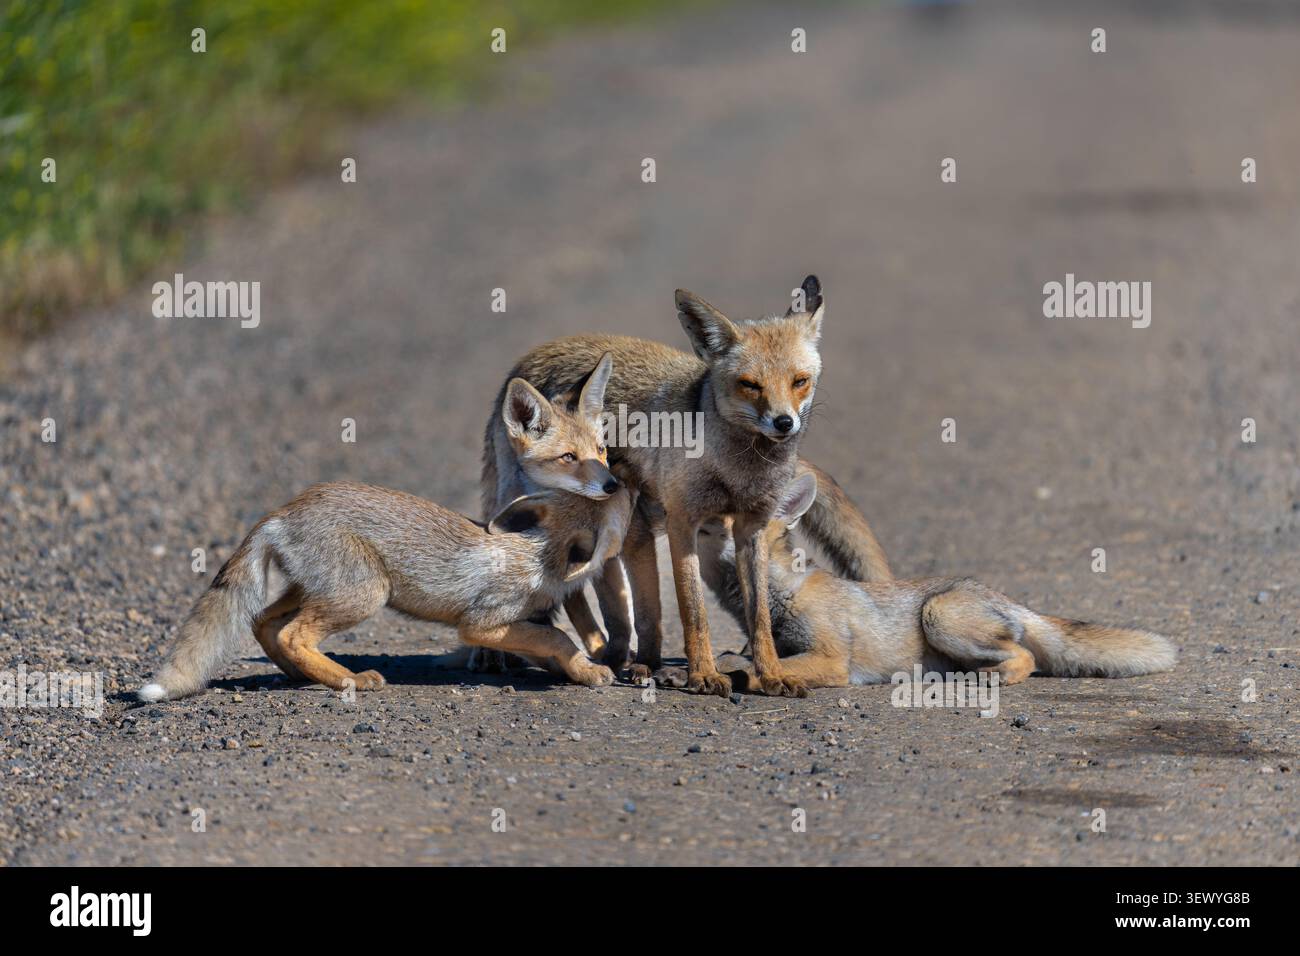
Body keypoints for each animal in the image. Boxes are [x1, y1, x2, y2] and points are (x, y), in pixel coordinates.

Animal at [137, 479, 633, 702]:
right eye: (613, 504)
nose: (622, 482)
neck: (533, 557)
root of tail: (283, 511)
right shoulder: (483, 623)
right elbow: (559, 637)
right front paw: (586, 668)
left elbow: (554, 646)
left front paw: (583, 672)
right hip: (366, 593)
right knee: (294, 634)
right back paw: (348, 680)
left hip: (316, 590)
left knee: (266, 624)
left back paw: (307, 675)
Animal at [483, 275, 889, 698]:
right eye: (750, 385)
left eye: (800, 382)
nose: (784, 423)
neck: (737, 471)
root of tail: (539, 351)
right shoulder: (683, 522)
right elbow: (693, 611)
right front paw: (704, 675)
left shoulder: (752, 529)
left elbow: (759, 616)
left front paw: (771, 674)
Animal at [686, 471, 1177, 689]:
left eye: (733, 520)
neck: (780, 593)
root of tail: (1011, 600)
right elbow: (742, 657)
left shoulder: (831, 659)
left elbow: (755, 670)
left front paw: (733, 676)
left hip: (939, 617)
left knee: (1025, 658)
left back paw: (989, 679)